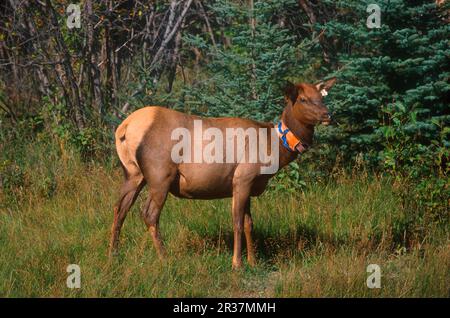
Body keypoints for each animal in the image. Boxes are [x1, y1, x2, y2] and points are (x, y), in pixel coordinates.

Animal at [108, 77, 334, 268]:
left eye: (321, 96)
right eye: (303, 99)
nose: (327, 114)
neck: (274, 148)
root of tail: (124, 128)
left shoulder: (249, 183)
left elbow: (249, 223)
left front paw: (253, 262)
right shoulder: (243, 177)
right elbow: (237, 222)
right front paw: (237, 263)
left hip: (133, 173)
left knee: (120, 208)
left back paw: (114, 254)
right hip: (159, 175)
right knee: (149, 213)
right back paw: (164, 258)